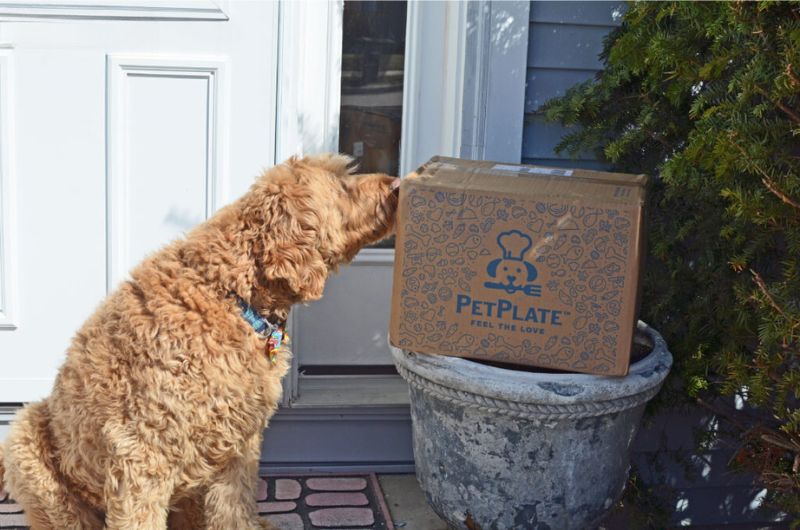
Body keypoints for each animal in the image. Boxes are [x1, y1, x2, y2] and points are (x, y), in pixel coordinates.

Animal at [0, 154, 400, 528]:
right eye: (342, 183)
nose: (397, 184)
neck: (227, 293)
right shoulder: (140, 452)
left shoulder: (239, 446)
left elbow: (234, 510)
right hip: (27, 437)